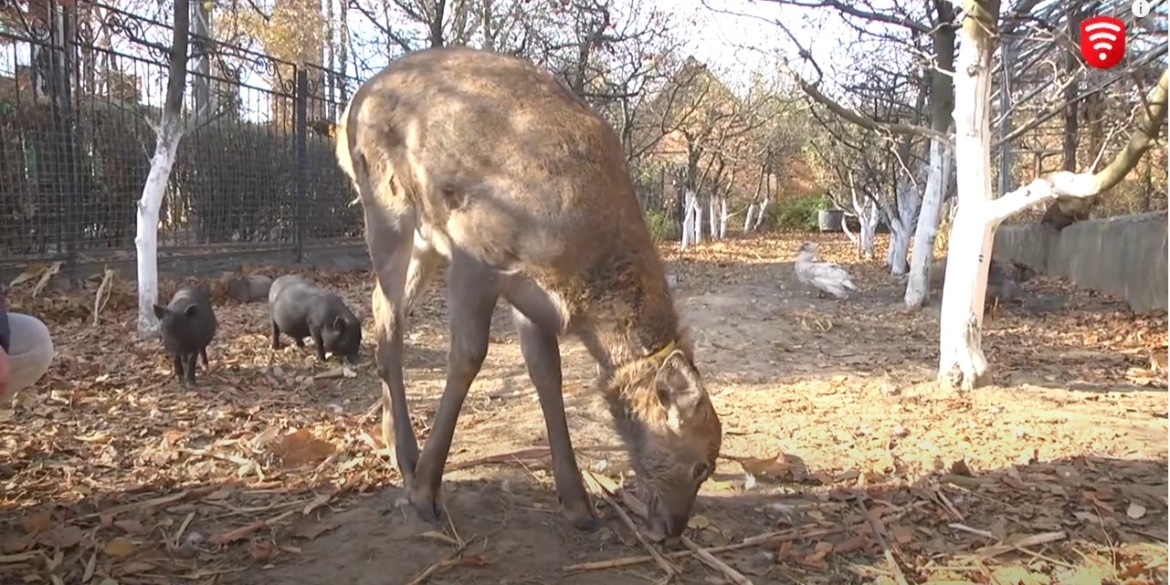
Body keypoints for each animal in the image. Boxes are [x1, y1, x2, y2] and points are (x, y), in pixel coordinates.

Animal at [325, 47, 716, 540]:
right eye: (702, 464)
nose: (674, 529)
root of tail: (347, 109)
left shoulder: (529, 297)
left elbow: (547, 373)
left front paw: (578, 505)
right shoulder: (476, 253)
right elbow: (469, 355)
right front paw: (425, 493)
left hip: (425, 238)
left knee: (380, 303)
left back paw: (397, 448)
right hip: (387, 205)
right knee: (390, 316)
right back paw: (408, 459)